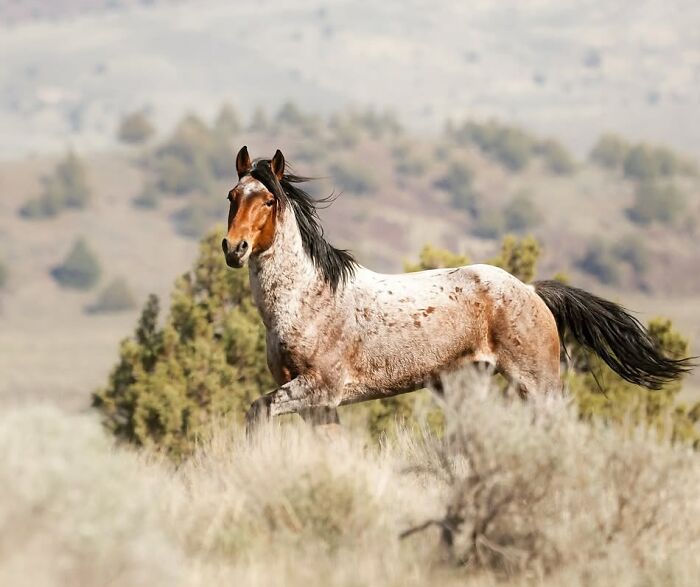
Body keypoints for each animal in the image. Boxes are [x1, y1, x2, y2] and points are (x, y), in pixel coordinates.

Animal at [222, 146, 693, 429]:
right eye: (232, 196)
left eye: (268, 200)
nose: (234, 248)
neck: (308, 301)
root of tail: (531, 291)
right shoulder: (318, 406)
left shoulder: (320, 389)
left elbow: (257, 411)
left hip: (537, 385)